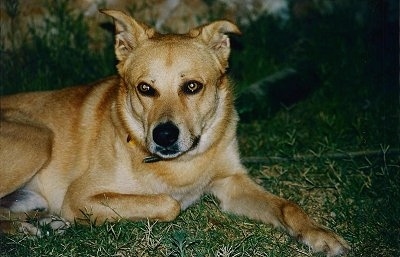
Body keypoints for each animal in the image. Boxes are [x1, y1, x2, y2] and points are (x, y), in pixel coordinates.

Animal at [0, 9, 348, 254]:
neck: (183, 164)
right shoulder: (79, 196)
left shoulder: (232, 182)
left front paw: (318, 233)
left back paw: (38, 223)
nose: (164, 136)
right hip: (38, 138)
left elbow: (287, 206)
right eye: (145, 88)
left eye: (192, 86)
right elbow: (170, 203)